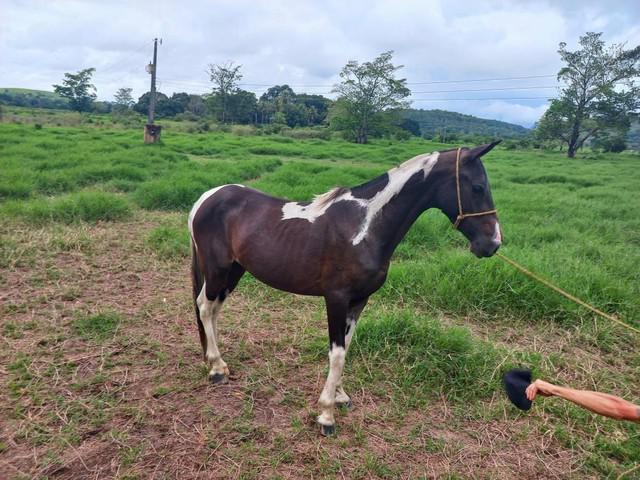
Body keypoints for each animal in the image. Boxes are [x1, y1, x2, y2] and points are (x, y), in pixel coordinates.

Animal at [188, 142, 502, 436]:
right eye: (477, 187)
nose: (493, 244)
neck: (364, 228)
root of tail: (207, 197)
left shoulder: (359, 300)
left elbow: (345, 348)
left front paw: (340, 396)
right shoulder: (337, 299)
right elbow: (337, 352)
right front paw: (326, 415)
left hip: (233, 271)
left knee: (213, 310)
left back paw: (218, 363)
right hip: (217, 270)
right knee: (204, 306)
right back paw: (216, 368)